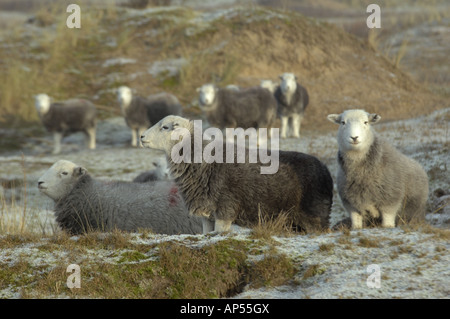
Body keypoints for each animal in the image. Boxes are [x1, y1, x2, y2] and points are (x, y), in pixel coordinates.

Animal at [141, 115, 334, 235]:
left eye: (165, 127)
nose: (142, 137)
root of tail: (325, 169)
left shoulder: (225, 209)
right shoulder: (207, 214)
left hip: (315, 216)